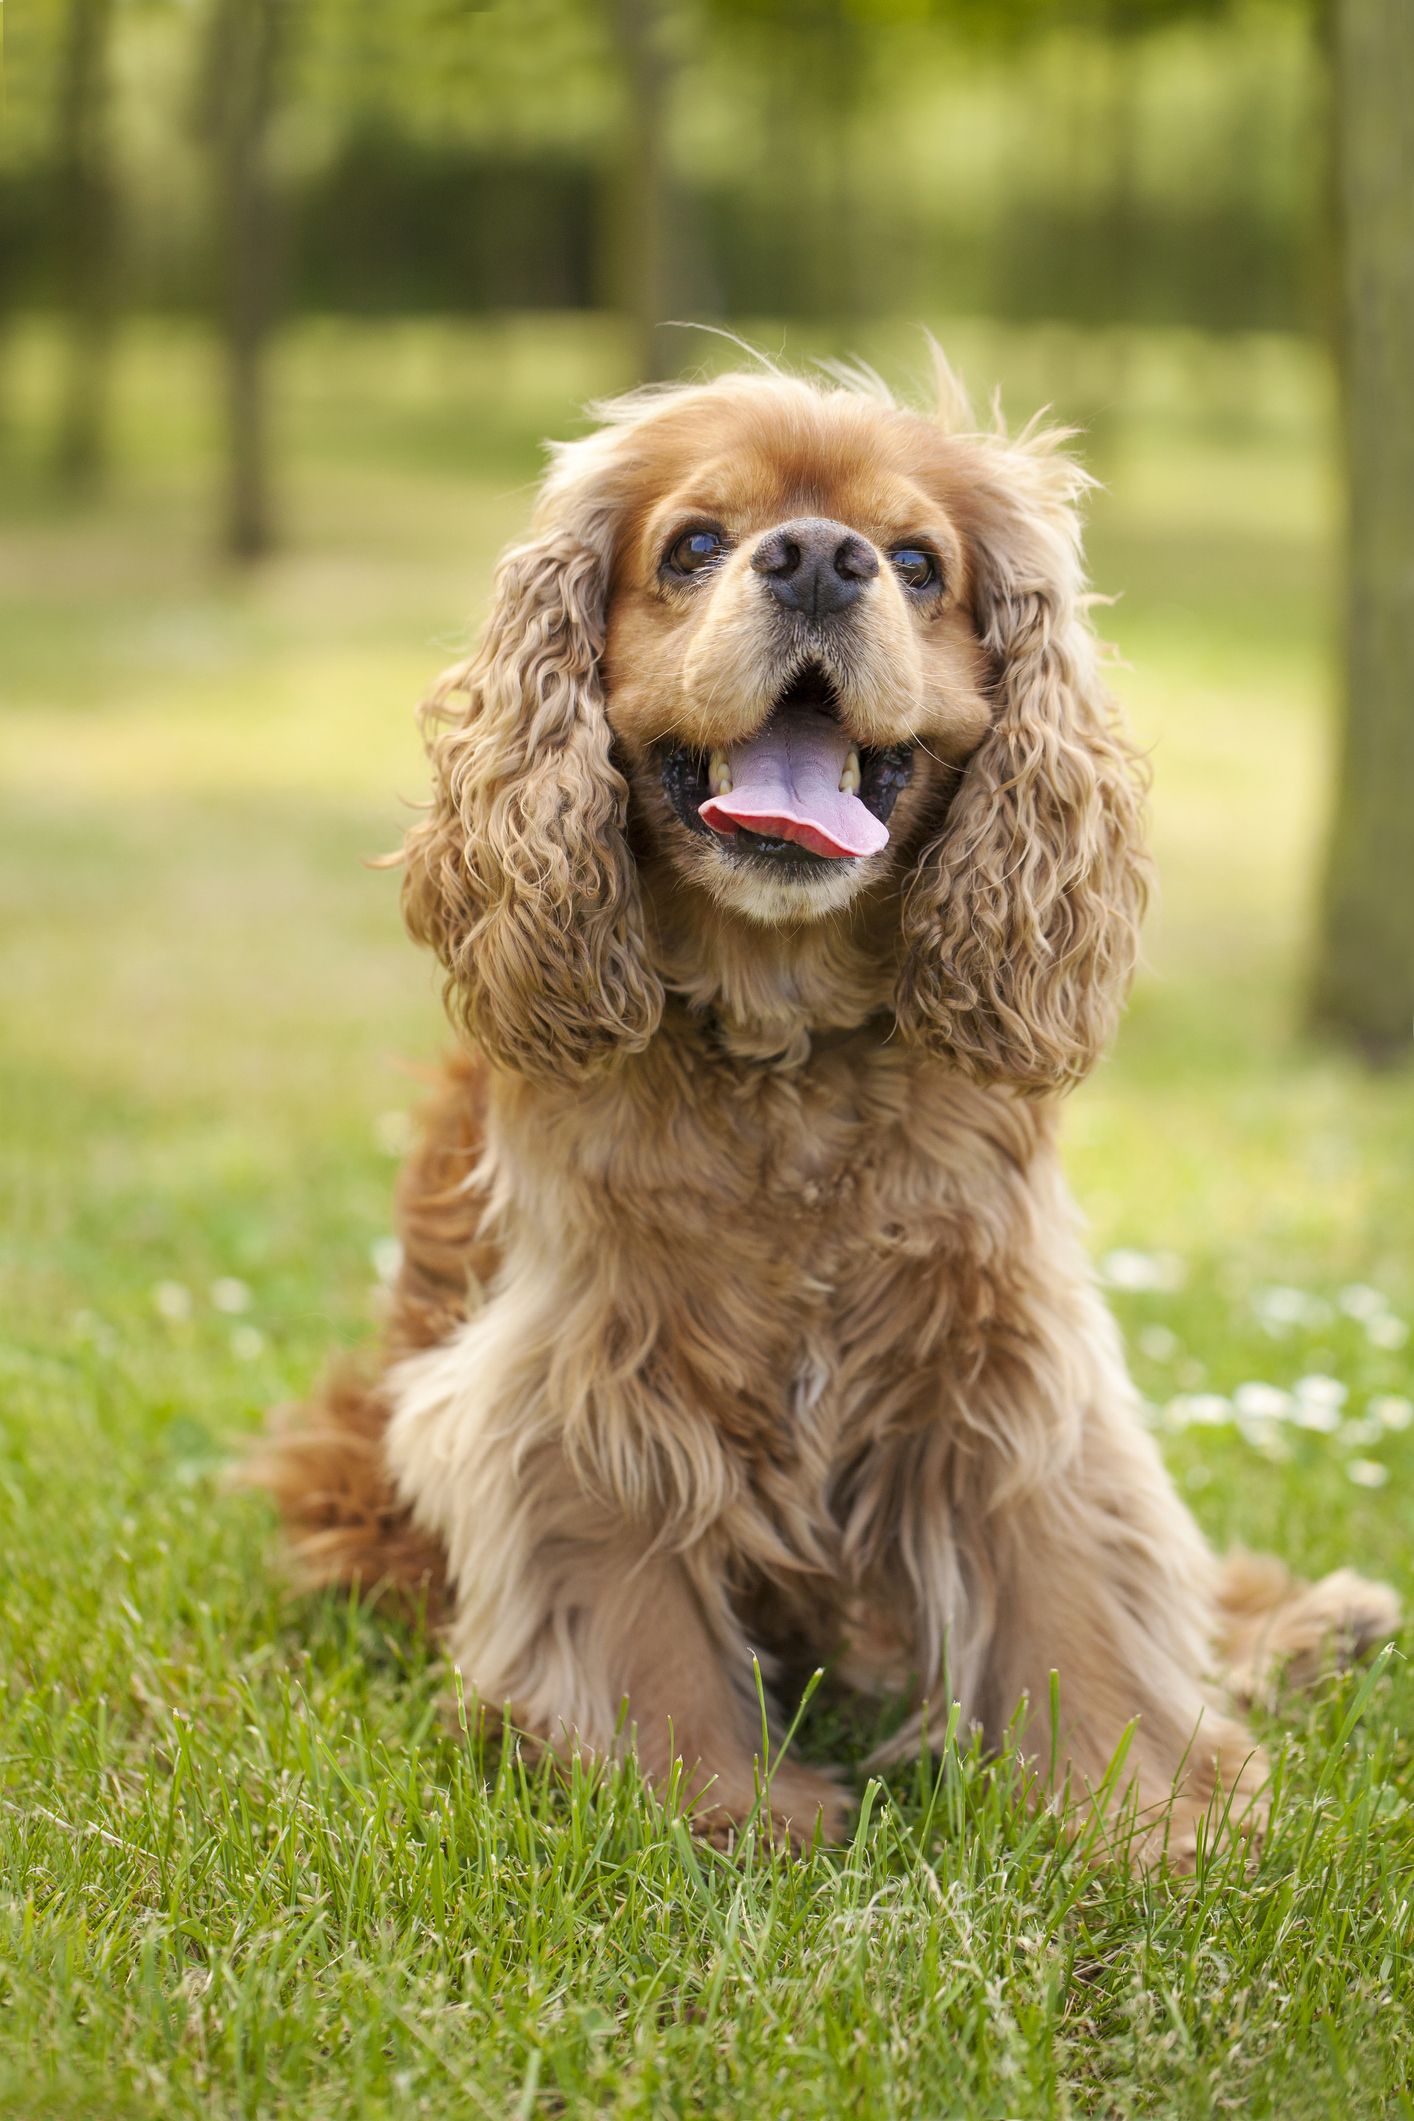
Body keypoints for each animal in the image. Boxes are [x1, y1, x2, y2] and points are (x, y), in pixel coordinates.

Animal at [257, 360, 1407, 1857]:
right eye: (693, 544)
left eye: (917, 562)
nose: (816, 557)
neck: (781, 1042)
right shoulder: (582, 1369)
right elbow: (634, 1613)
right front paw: (719, 1810)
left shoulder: (1000, 1342)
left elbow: (1073, 1582)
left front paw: (1141, 1814)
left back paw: (1315, 1624)